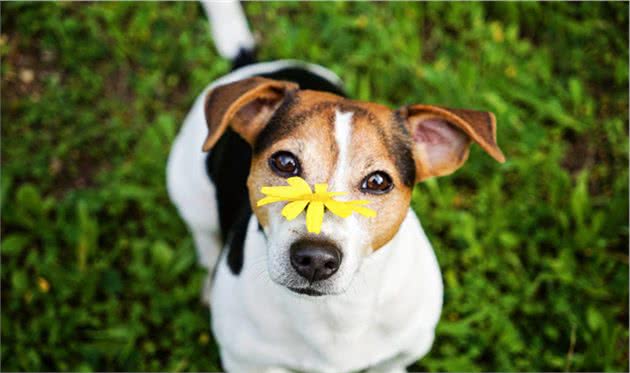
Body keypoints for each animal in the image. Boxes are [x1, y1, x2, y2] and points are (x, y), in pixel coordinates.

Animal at [165, 2, 506, 370]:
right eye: (284, 162)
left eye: (378, 181)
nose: (315, 258)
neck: (334, 313)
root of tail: (252, 66)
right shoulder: (246, 362)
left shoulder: (406, 348)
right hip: (188, 190)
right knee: (205, 238)